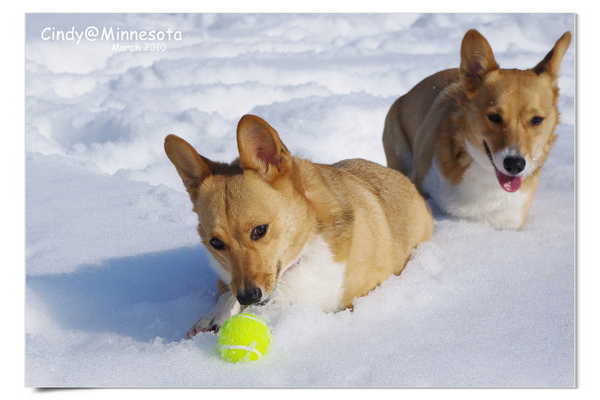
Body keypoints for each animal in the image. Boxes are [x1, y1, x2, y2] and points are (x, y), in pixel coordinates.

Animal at [164, 115, 434, 338]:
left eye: (260, 230)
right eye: (216, 243)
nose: (249, 297)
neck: (299, 258)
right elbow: (226, 291)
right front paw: (216, 314)